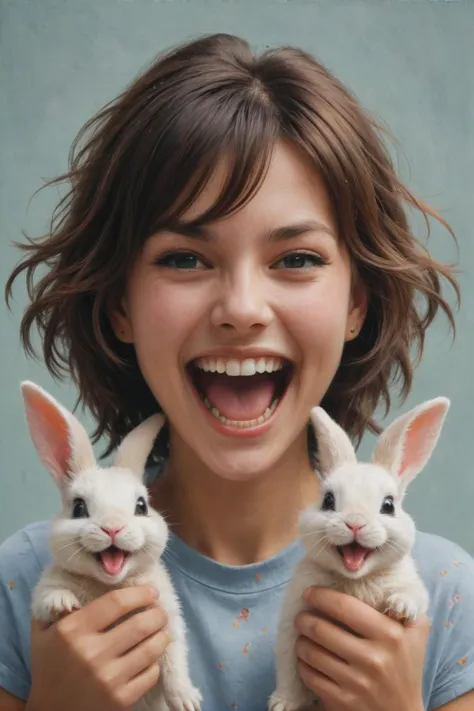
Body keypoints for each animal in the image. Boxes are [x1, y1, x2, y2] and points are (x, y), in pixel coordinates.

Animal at [20, 382, 202, 711]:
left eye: (141, 506)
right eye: (79, 508)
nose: (113, 528)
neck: (111, 584)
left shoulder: (169, 623)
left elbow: (175, 664)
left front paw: (187, 700)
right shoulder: (41, 595)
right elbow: (46, 598)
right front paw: (63, 603)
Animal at [268, 398, 450, 711]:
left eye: (388, 505)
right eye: (328, 501)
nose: (355, 523)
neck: (355, 579)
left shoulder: (413, 586)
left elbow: (414, 595)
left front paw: (401, 608)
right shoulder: (292, 624)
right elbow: (289, 671)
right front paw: (283, 704)